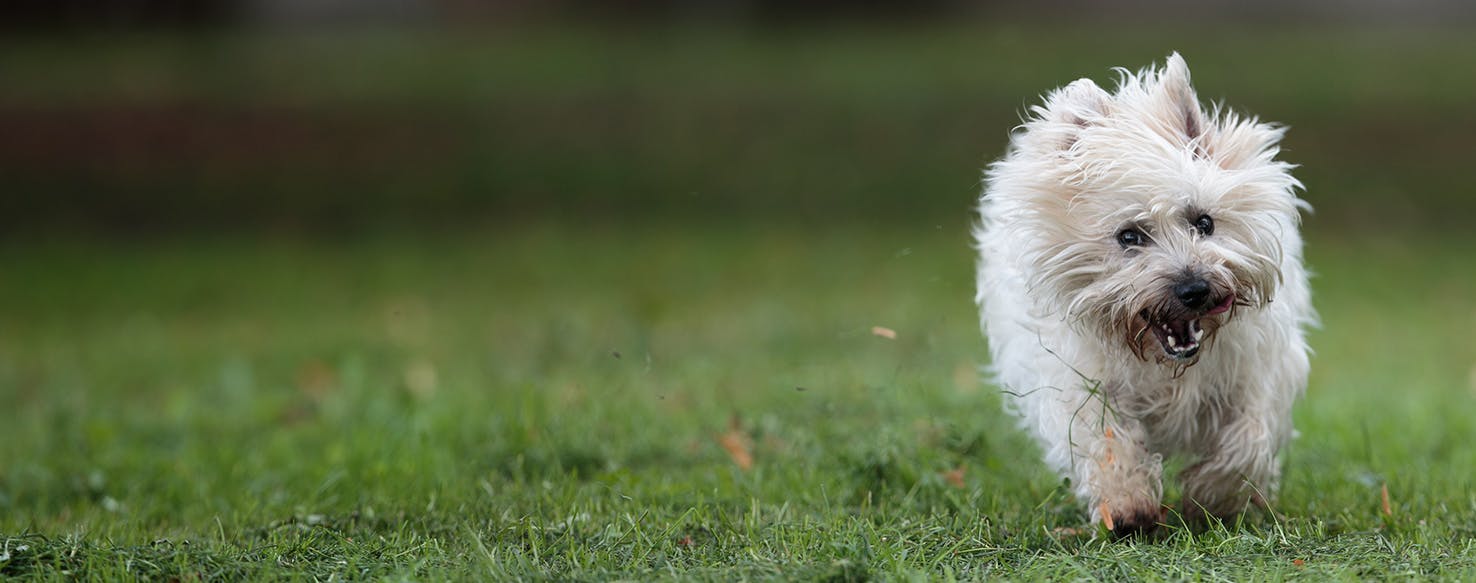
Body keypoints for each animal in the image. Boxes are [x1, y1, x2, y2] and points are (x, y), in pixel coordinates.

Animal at [974, 54, 1310, 540]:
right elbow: (1104, 436)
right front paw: (1126, 503)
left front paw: (1215, 498)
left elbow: (1248, 436)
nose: (1195, 289)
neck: (1165, 364)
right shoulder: (1078, 378)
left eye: (1204, 222)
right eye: (1129, 236)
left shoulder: (1256, 370)